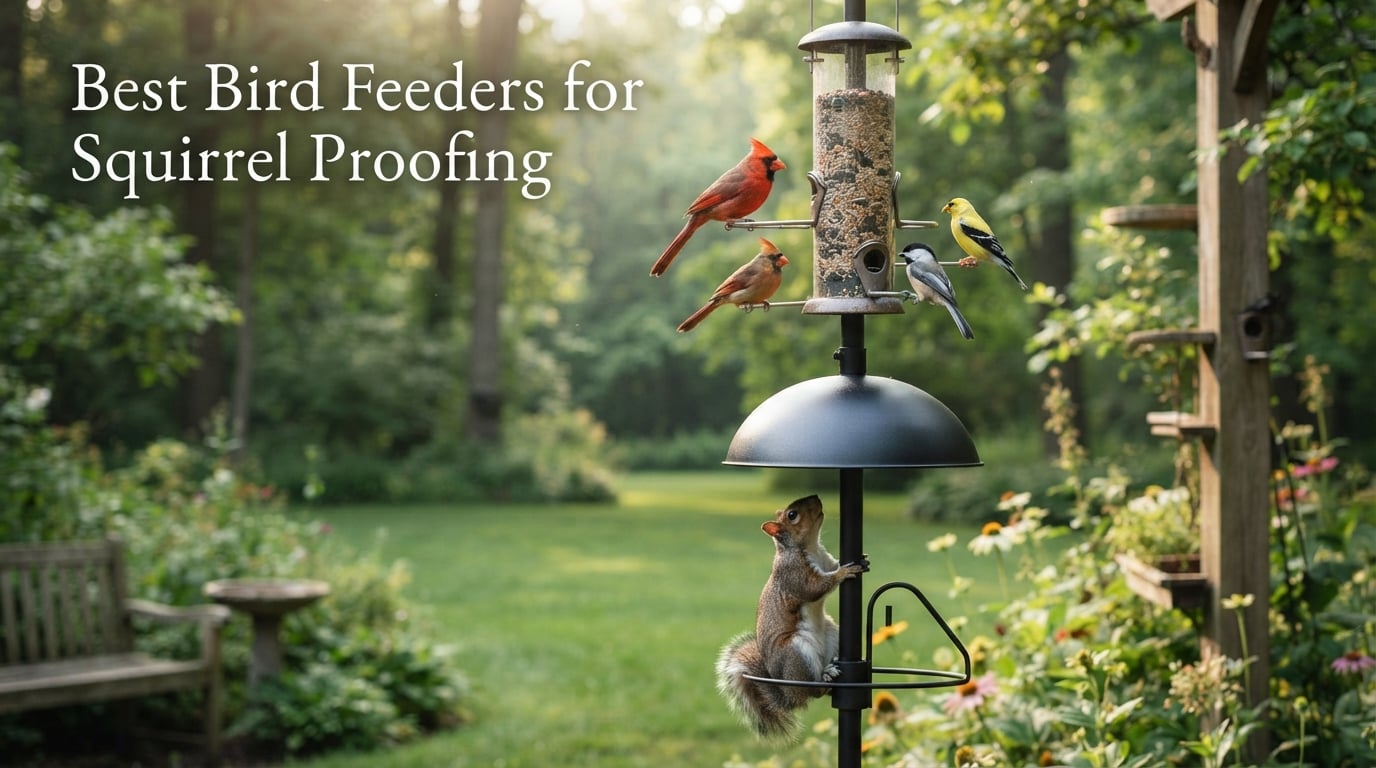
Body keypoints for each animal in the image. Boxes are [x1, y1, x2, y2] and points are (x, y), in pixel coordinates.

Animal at [715, 494, 869, 742]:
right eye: (792, 515)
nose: (816, 497)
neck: (810, 547)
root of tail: (789, 694)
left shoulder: (826, 560)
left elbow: (833, 565)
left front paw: (862, 560)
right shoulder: (795, 574)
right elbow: (815, 588)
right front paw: (844, 573)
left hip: (832, 634)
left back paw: (830, 671)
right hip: (796, 652)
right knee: (813, 692)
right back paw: (824, 677)